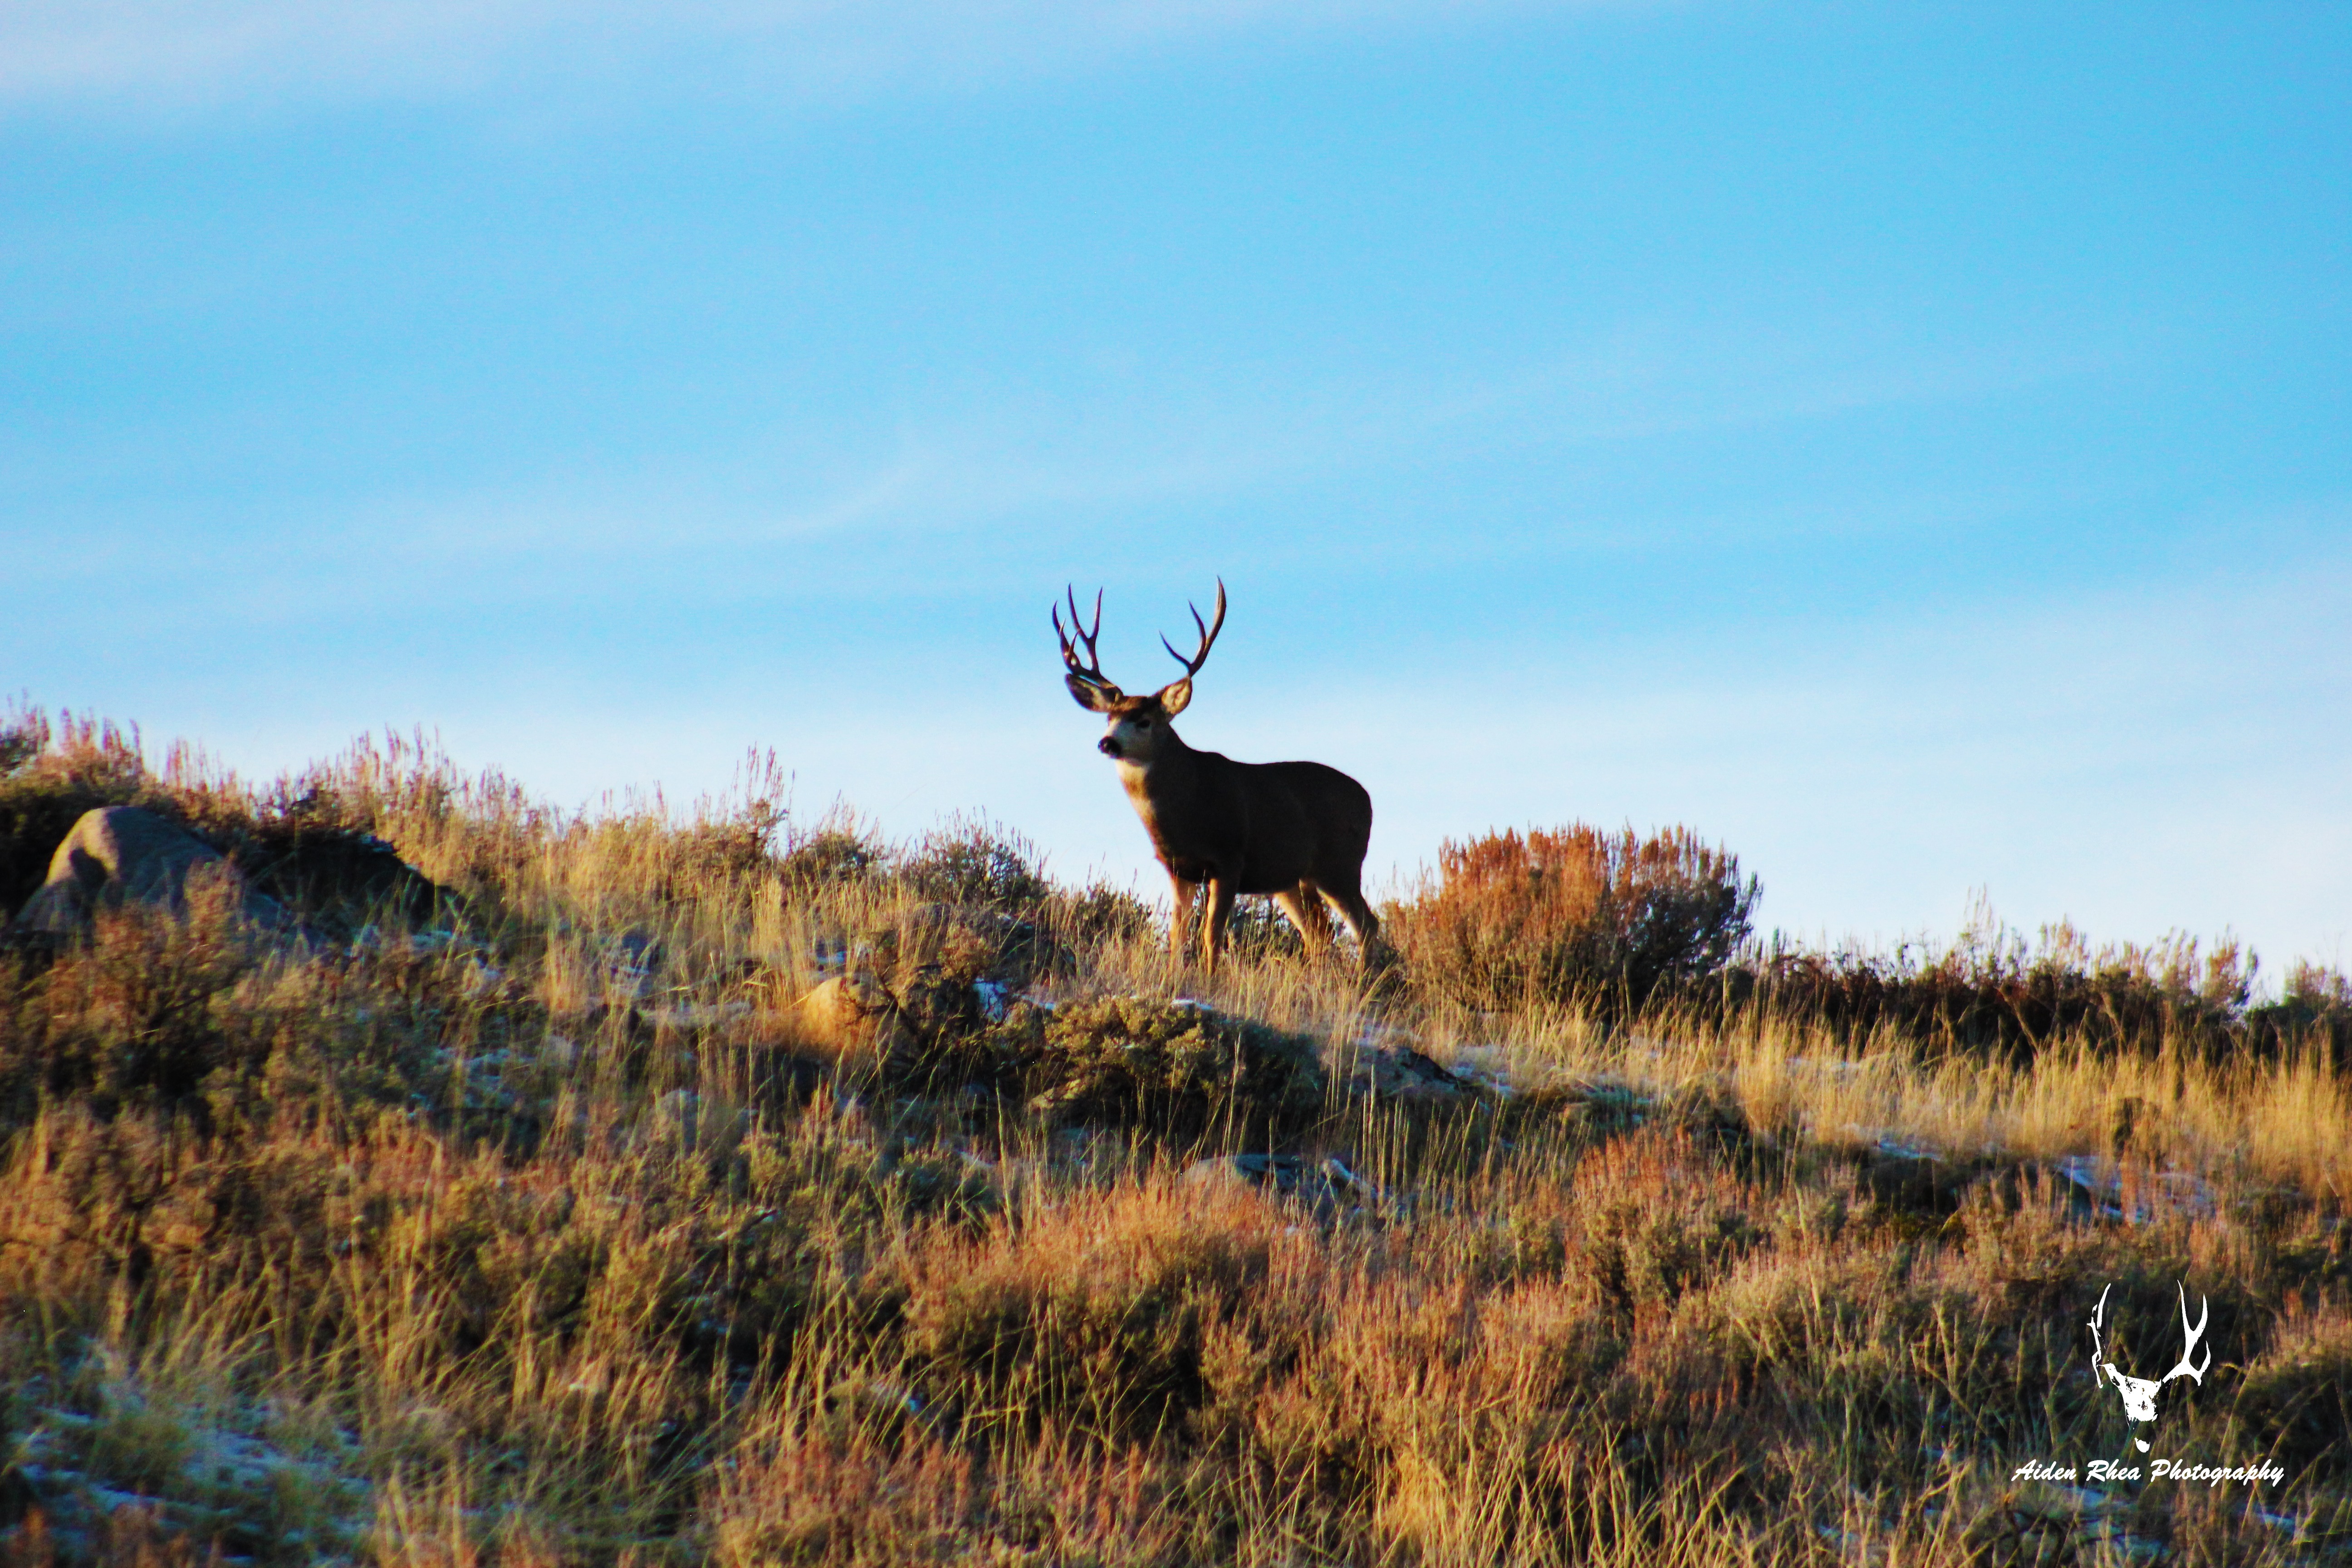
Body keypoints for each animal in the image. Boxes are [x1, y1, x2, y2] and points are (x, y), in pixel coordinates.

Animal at [1054, 579, 1381, 974]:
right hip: (1292, 877)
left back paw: (1366, 982)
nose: (1107, 743)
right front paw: (1177, 976)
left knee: (1365, 924)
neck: (1187, 807)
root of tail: (1367, 799)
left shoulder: (1229, 859)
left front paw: (1211, 979)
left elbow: (1213, 935)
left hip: (1340, 862)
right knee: (1320, 932)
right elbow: (1178, 934)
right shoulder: (1178, 869)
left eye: (1144, 721)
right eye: (1109, 717)